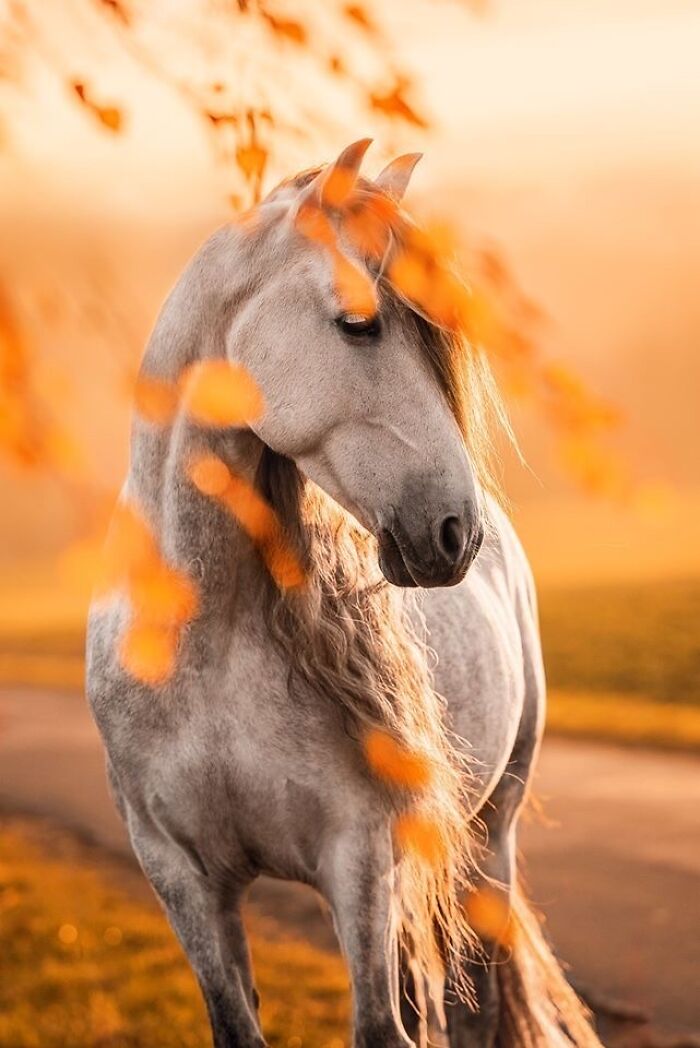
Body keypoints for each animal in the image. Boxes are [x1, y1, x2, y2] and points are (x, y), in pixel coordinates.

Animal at [86, 140, 601, 1048]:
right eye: (359, 324)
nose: (454, 531)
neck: (205, 647)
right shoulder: (179, 875)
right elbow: (239, 1022)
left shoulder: (356, 856)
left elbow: (381, 1027)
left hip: (487, 841)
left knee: (472, 1002)